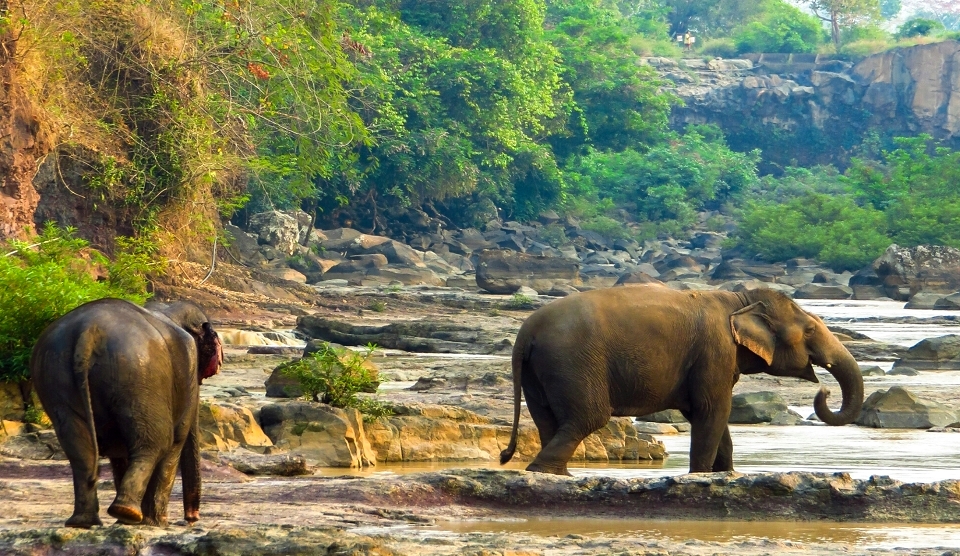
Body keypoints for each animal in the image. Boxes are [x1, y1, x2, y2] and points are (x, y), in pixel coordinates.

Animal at [31, 298, 222, 528]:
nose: (191, 520)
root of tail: (88, 331)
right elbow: (176, 441)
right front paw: (156, 524)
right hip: (138, 375)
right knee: (157, 442)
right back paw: (127, 513)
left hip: (57, 374)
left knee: (79, 447)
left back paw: (85, 521)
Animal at [498, 286, 868, 474]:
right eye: (810, 330)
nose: (823, 390)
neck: (740, 300)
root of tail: (525, 333)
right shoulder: (715, 351)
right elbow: (711, 411)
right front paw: (701, 476)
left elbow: (712, 417)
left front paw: (723, 475)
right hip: (573, 361)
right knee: (588, 417)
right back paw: (546, 471)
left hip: (540, 369)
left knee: (548, 418)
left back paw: (553, 474)